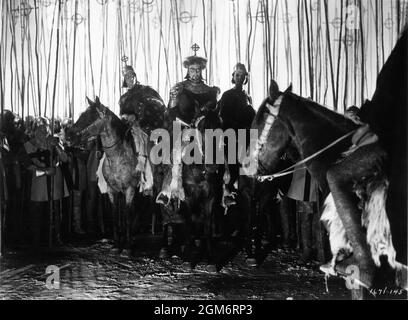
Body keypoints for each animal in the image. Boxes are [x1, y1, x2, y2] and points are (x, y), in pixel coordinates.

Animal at [68, 96, 147, 254]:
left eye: (90, 116)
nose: (69, 135)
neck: (117, 157)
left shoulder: (129, 189)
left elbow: (128, 215)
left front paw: (127, 247)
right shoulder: (112, 190)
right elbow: (115, 214)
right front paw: (117, 244)